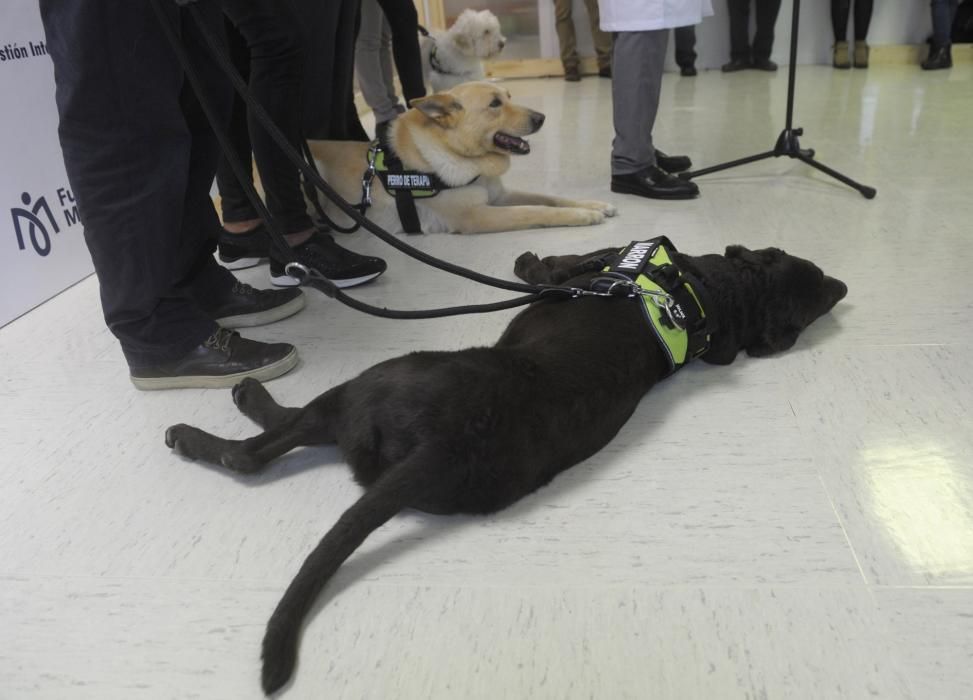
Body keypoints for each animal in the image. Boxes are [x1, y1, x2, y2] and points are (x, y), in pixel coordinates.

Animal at [165, 242, 844, 696]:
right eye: (811, 285)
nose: (841, 286)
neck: (715, 290)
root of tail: (449, 442)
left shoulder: (581, 267)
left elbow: (551, 266)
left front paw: (527, 259)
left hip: (370, 382)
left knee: (258, 448)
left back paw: (220, 417)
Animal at [308, 82, 620, 235]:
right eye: (495, 104)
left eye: (509, 96)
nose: (541, 118)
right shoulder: (476, 216)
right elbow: (535, 210)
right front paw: (582, 215)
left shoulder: (498, 196)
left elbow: (550, 198)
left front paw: (593, 205)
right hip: (316, 174)